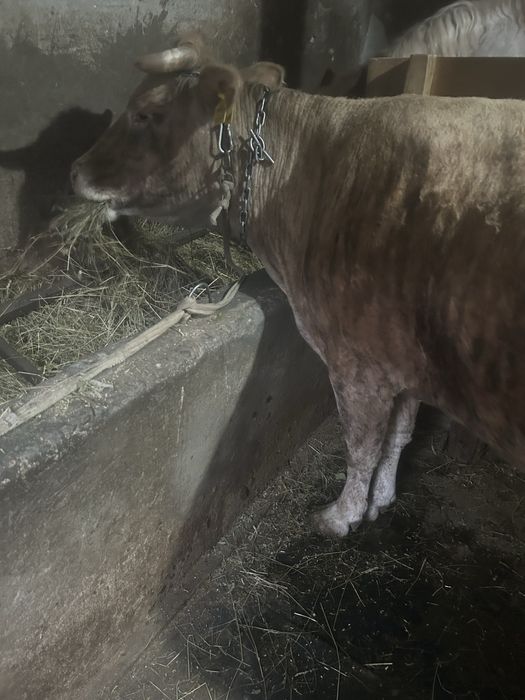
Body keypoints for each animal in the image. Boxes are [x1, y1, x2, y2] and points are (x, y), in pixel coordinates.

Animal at [71, 35, 525, 537]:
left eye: (146, 114)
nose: (74, 170)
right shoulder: (407, 364)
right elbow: (399, 436)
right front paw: (382, 499)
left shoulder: (357, 361)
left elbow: (362, 444)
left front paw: (341, 516)